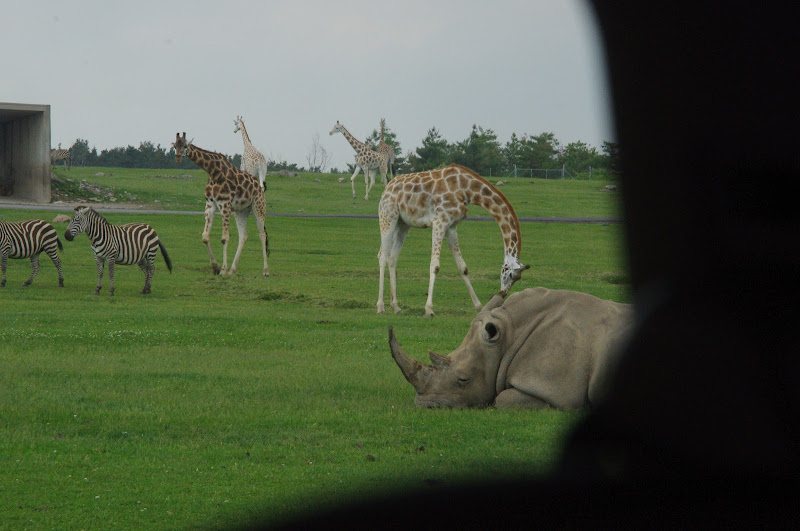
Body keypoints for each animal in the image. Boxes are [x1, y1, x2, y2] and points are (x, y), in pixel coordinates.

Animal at [172, 132, 270, 277]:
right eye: (174, 146)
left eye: (184, 146)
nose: (178, 157)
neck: (213, 172)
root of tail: (259, 187)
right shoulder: (210, 204)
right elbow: (205, 237)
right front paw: (216, 267)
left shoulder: (225, 204)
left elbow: (224, 238)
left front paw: (223, 270)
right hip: (241, 211)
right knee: (243, 236)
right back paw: (232, 270)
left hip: (258, 207)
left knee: (262, 234)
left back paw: (265, 271)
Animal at [377, 163, 529, 317]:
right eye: (510, 274)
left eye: (518, 278)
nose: (503, 293)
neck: (467, 190)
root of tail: (386, 189)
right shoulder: (439, 222)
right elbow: (435, 266)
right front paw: (429, 309)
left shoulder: (451, 226)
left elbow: (463, 267)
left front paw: (479, 306)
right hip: (388, 216)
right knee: (382, 256)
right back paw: (380, 307)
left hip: (403, 223)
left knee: (392, 257)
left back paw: (395, 306)